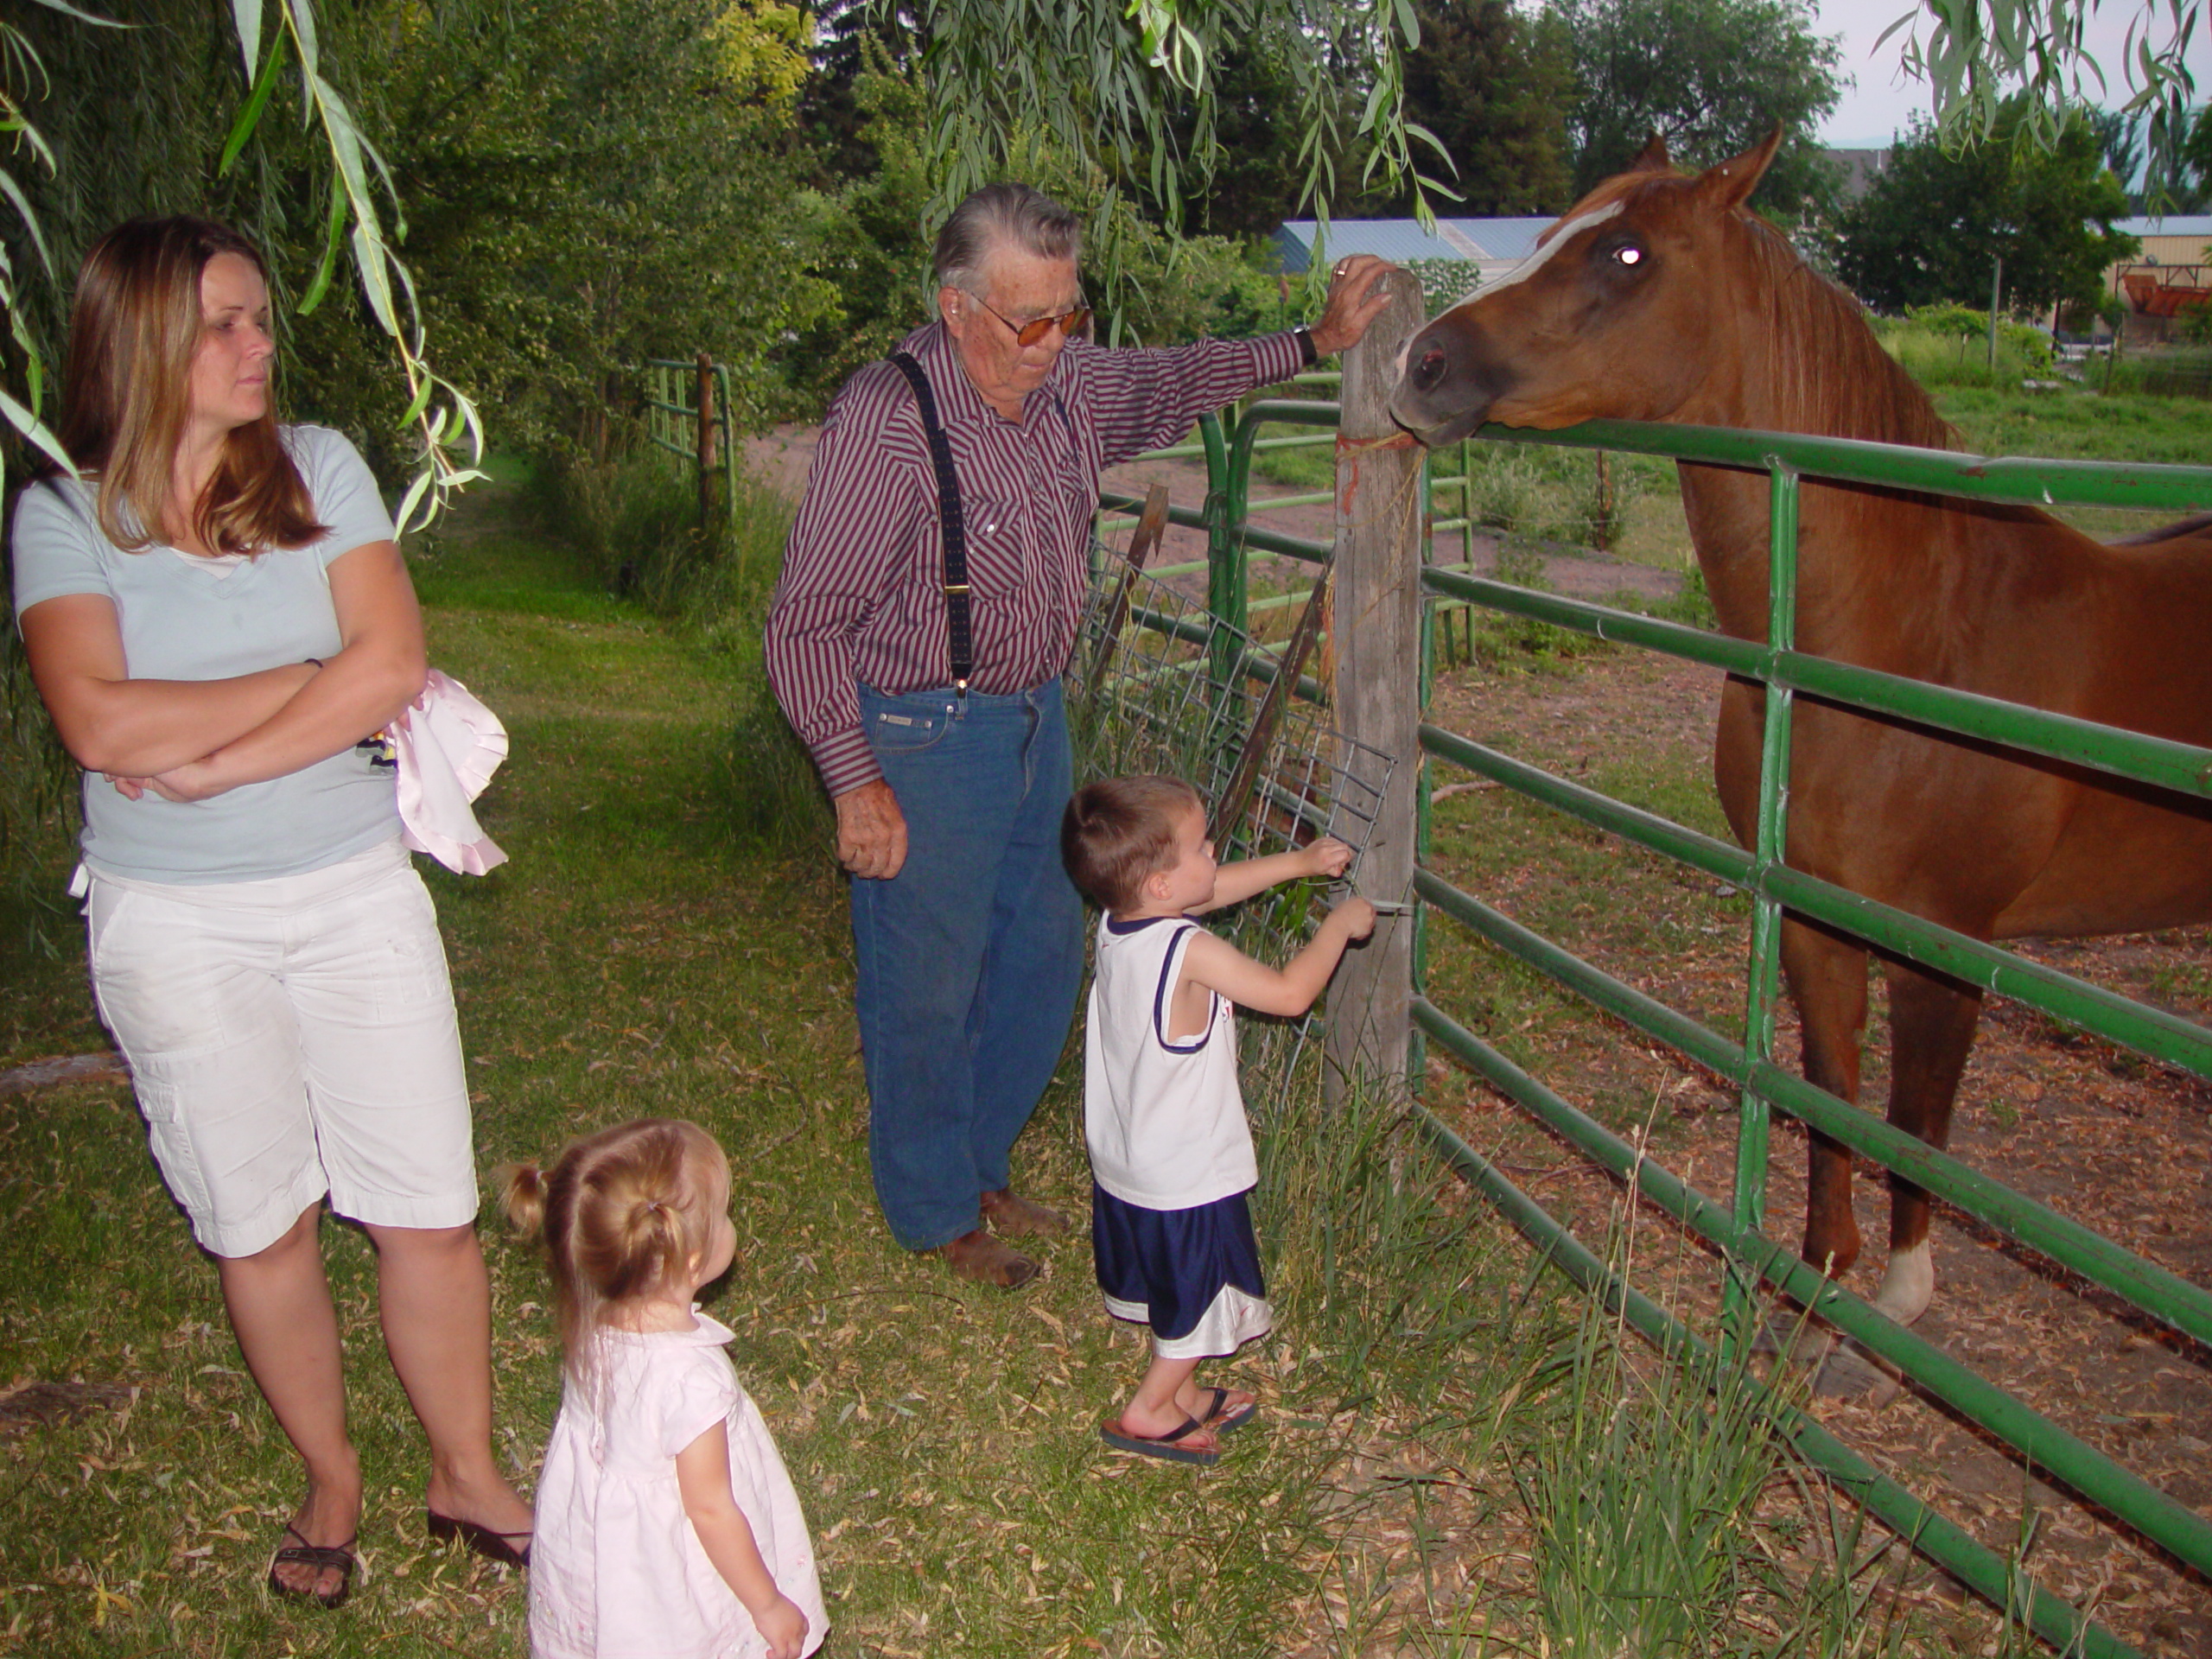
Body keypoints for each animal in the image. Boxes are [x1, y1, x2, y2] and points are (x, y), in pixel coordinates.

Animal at [1389, 130, 2212, 1380]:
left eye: (1627, 254)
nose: (1420, 363)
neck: (1912, 639)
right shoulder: (1819, 918)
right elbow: (1826, 1093)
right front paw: (1819, 1284)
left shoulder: (1944, 947)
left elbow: (1914, 1119)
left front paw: (1898, 1306)